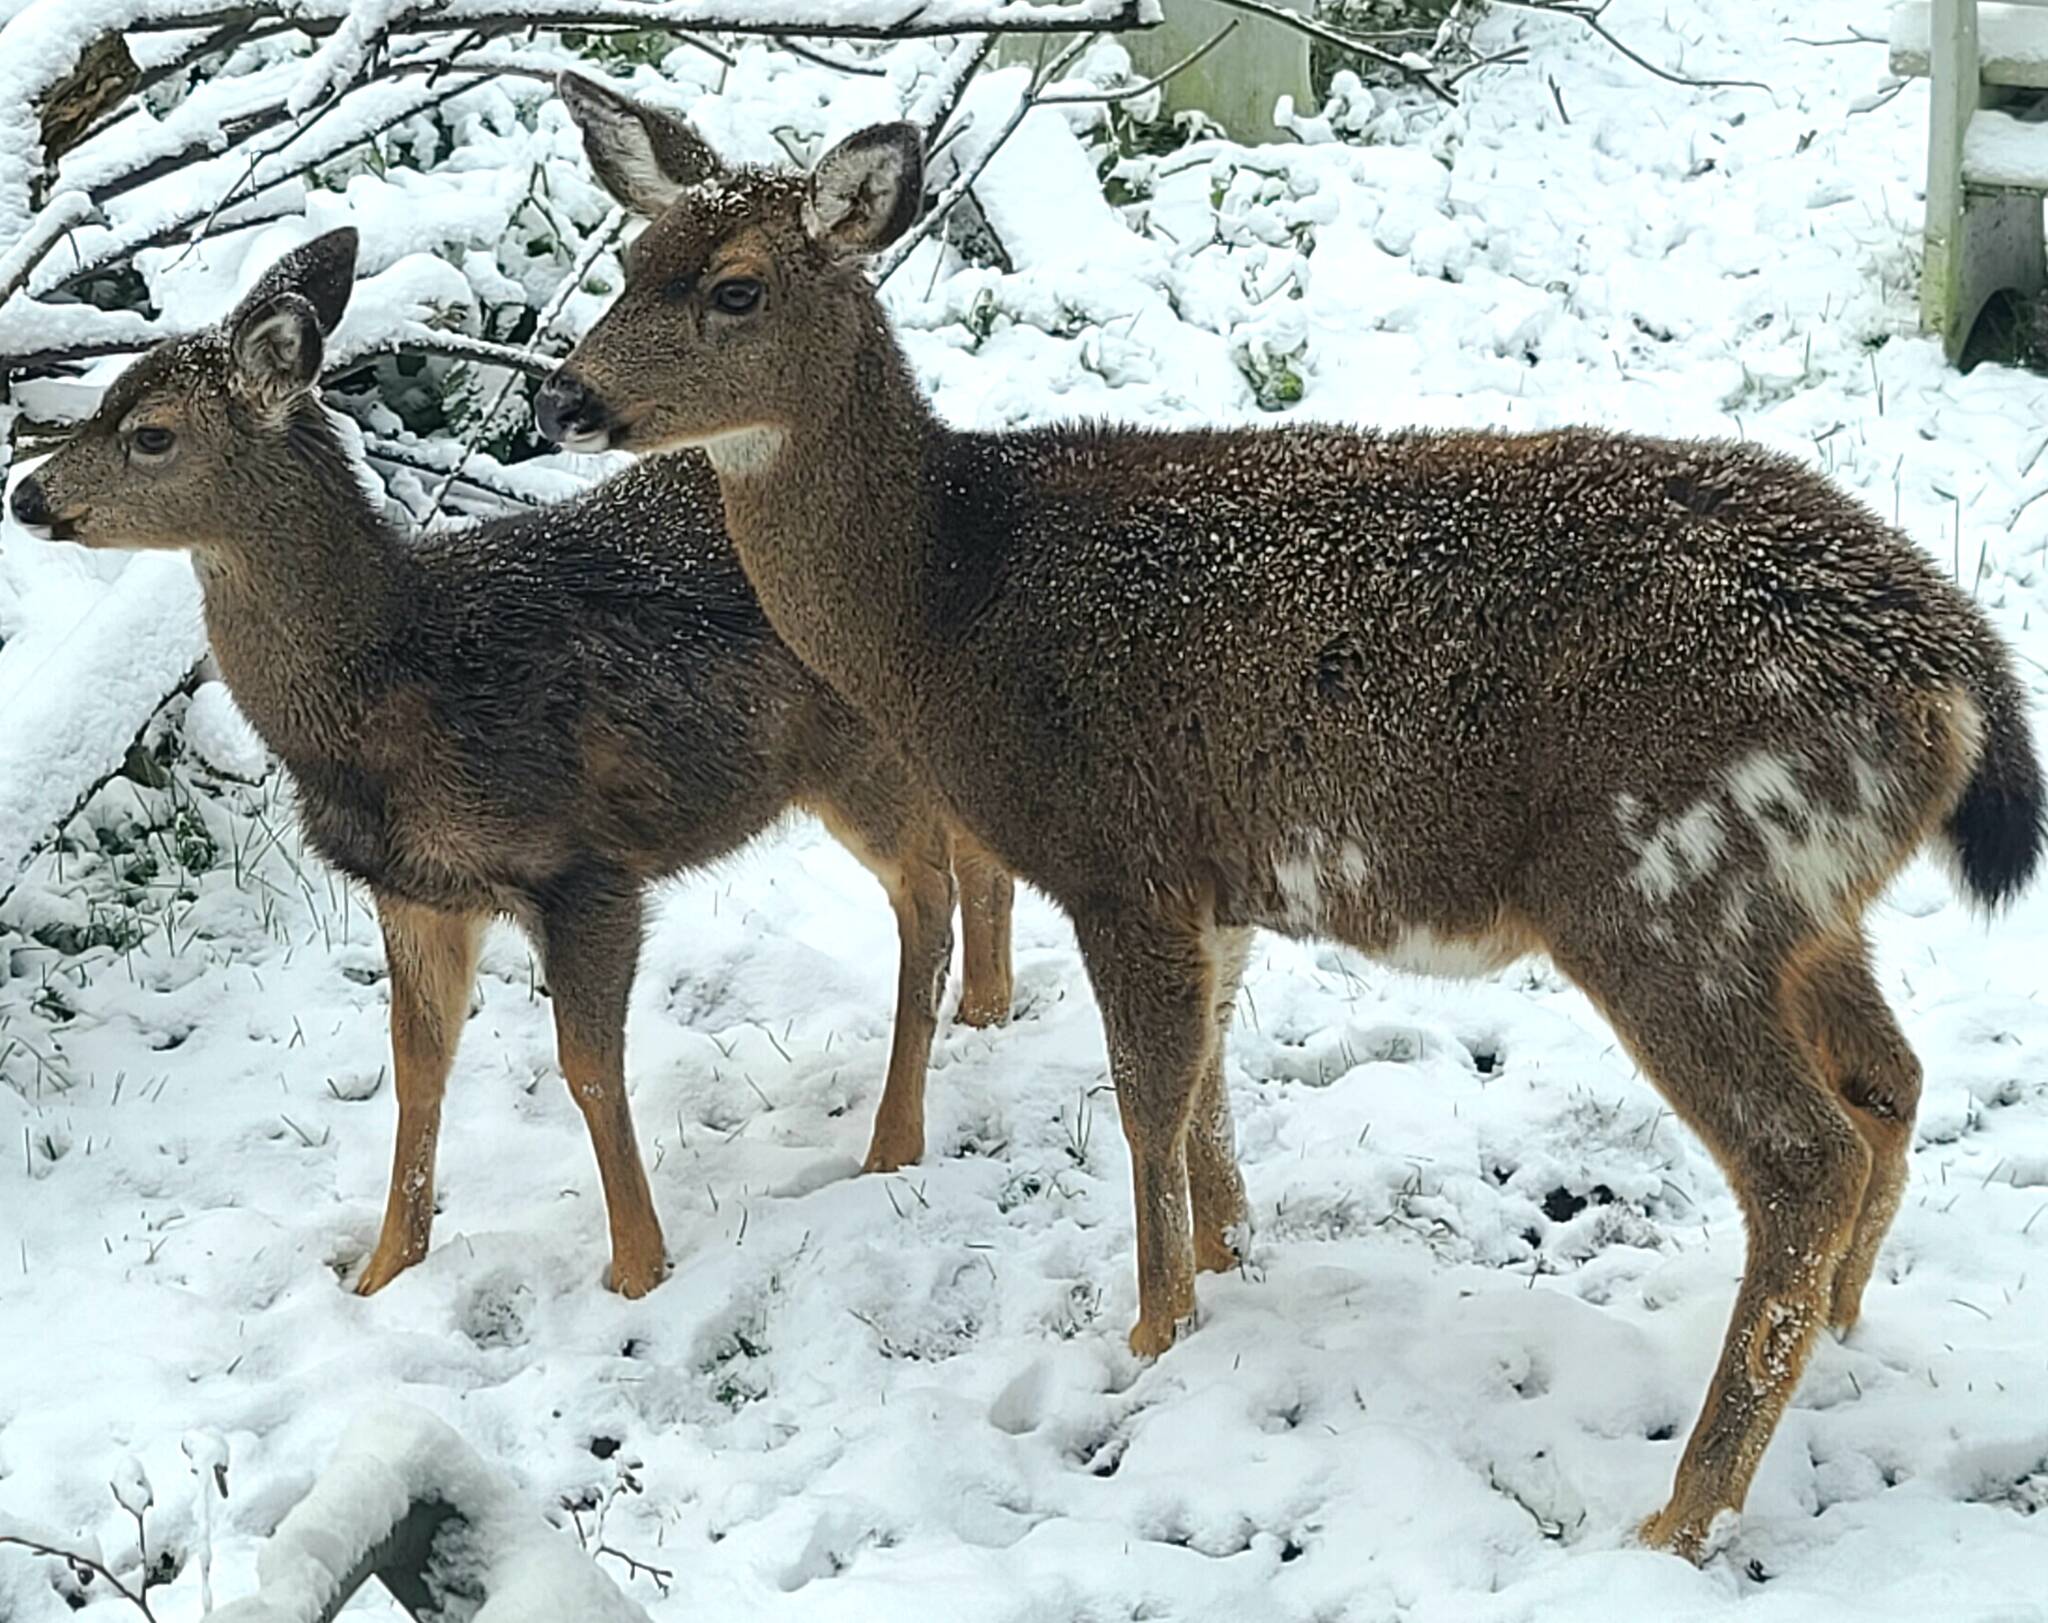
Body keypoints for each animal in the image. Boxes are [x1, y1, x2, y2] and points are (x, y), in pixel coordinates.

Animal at [8, 222, 1015, 1303]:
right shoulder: (413, 891)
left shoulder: (583, 867)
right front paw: (382, 1274)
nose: (26, 493)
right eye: (101, 397)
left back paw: (894, 1138)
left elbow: (586, 1068)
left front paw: (637, 1268)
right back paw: (988, 1011)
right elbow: (416, 1070)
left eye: (150, 432)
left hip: (853, 752)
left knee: (925, 895)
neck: (396, 687)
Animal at [544, 79, 2048, 1557]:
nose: (562, 397)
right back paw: (1836, 1348)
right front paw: (1229, 1266)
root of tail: (1954, 669)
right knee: (1890, 1082)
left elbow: (1147, 1099)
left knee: (1801, 1158)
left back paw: (1681, 1515)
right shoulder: (1219, 878)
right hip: (1800, 899)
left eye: (734, 287)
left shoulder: (1117, 853)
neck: (951, 600)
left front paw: (1151, 1335)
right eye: (625, 260)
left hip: (1662, 879)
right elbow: (1208, 1088)